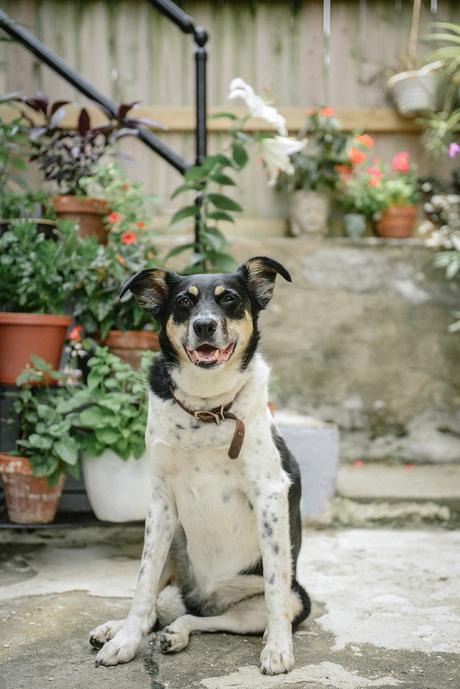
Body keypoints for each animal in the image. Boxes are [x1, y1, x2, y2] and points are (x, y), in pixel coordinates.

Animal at [89, 255, 312, 676]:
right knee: (156, 608)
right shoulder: (160, 500)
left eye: (229, 299)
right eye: (183, 302)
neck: (206, 409)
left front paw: (278, 650)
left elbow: (275, 587)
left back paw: (178, 632)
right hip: (172, 547)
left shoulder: (270, 496)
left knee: (206, 618)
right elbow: (142, 585)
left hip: (288, 601)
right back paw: (119, 628)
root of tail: (203, 597)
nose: (204, 325)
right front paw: (125, 642)